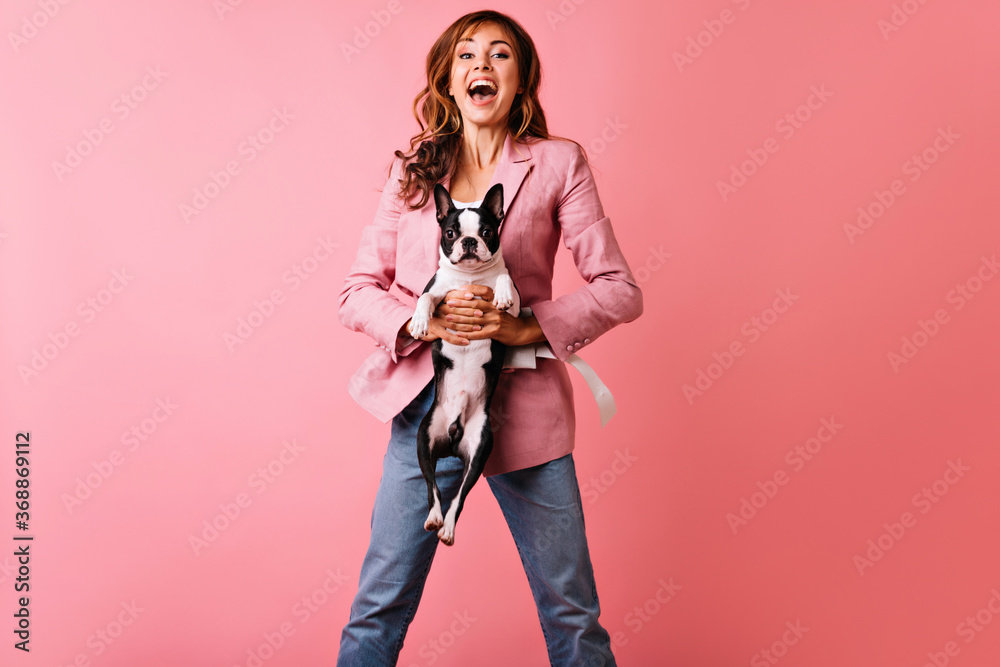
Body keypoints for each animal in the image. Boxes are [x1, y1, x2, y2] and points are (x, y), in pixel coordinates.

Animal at [406, 184, 520, 548]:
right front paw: (419, 322)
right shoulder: (437, 290)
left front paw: (501, 294)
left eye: (487, 232)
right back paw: (433, 518)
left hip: (481, 447)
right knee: (433, 488)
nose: (468, 242)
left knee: (459, 497)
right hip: (424, 438)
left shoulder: (514, 312)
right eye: (450, 233)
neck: (469, 278)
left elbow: (505, 281)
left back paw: (448, 528)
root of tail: (455, 433)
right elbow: (426, 298)